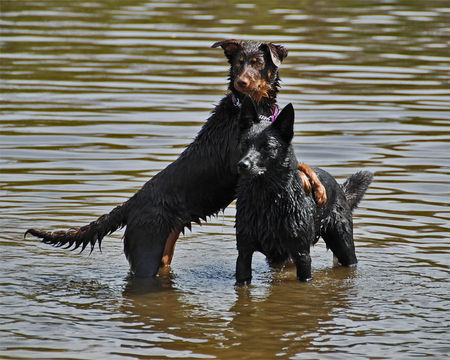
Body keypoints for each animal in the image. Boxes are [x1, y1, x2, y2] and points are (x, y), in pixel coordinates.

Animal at [25, 39, 324, 278]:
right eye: (238, 64)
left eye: (257, 62)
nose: (242, 81)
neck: (252, 107)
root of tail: (131, 204)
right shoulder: (239, 159)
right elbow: (298, 165)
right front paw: (314, 187)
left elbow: (301, 164)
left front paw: (317, 187)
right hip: (145, 251)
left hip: (161, 254)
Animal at [236, 96, 372, 284]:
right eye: (245, 143)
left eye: (266, 147)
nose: (242, 164)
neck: (266, 199)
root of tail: (339, 189)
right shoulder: (243, 253)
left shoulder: (302, 255)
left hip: (343, 245)